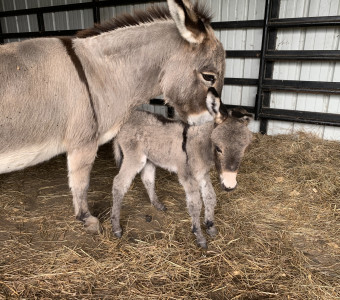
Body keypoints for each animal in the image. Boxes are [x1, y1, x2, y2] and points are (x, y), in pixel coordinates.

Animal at [111, 91, 252, 248]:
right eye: (218, 148)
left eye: (244, 149)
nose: (229, 185)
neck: (199, 146)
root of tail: (125, 121)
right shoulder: (188, 177)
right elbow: (195, 204)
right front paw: (199, 235)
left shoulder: (203, 174)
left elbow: (210, 197)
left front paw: (210, 226)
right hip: (134, 159)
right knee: (119, 184)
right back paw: (116, 228)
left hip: (149, 159)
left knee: (147, 179)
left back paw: (157, 204)